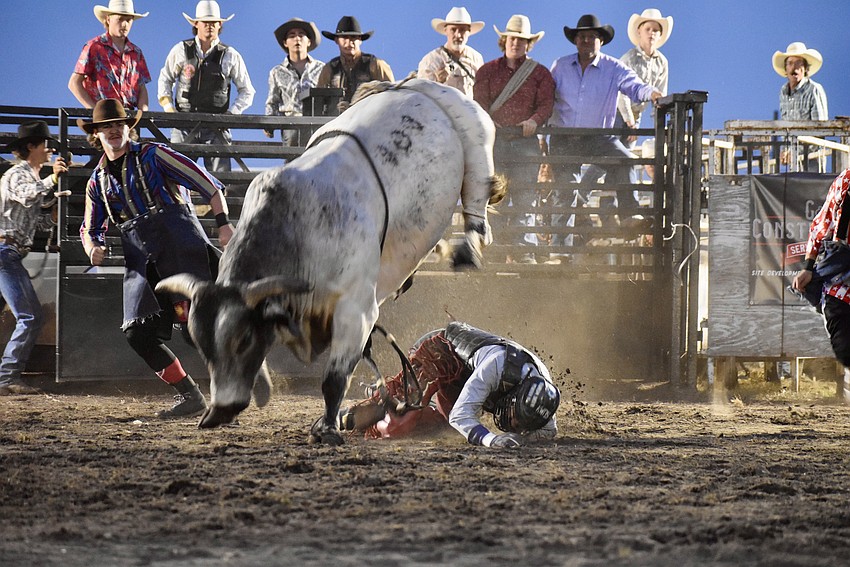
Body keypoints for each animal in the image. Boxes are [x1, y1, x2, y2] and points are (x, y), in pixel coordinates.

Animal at [157, 78, 504, 445]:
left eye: (244, 340)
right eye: (201, 346)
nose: (219, 412)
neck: (299, 231)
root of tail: (417, 84)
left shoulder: (356, 311)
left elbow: (334, 379)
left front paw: (327, 429)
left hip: (476, 141)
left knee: (477, 202)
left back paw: (466, 249)